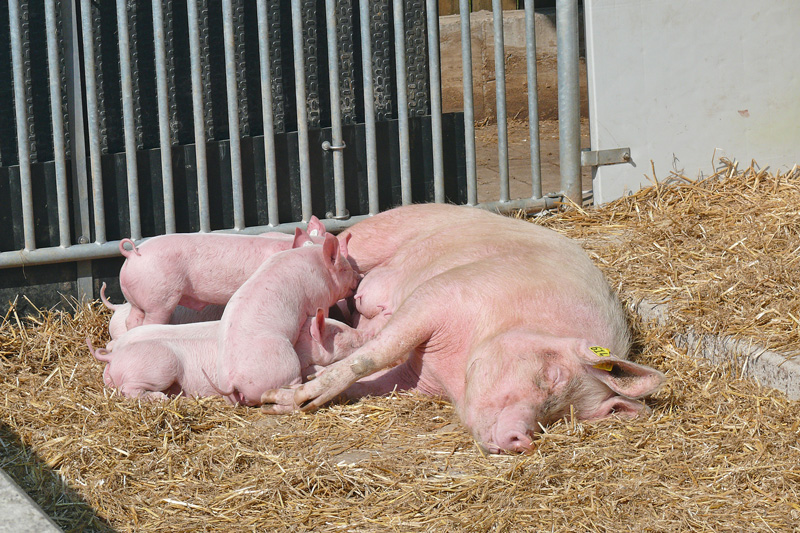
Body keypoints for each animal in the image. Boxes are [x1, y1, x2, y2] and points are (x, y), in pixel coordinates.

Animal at [92, 310, 368, 402]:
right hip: (159, 365)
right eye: (339, 331)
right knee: (129, 390)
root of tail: (112, 357)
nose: (364, 334)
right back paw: (162, 399)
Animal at [216, 229, 360, 404]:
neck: (320, 267)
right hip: (285, 365)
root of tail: (232, 381)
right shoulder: (319, 299)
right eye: (345, 268)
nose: (360, 277)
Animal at [260, 204, 664, 454]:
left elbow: (371, 380)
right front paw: (279, 400)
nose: (522, 439)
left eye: (564, 417)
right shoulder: (441, 295)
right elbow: (373, 357)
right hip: (373, 235)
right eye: (552, 376)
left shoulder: (417, 378)